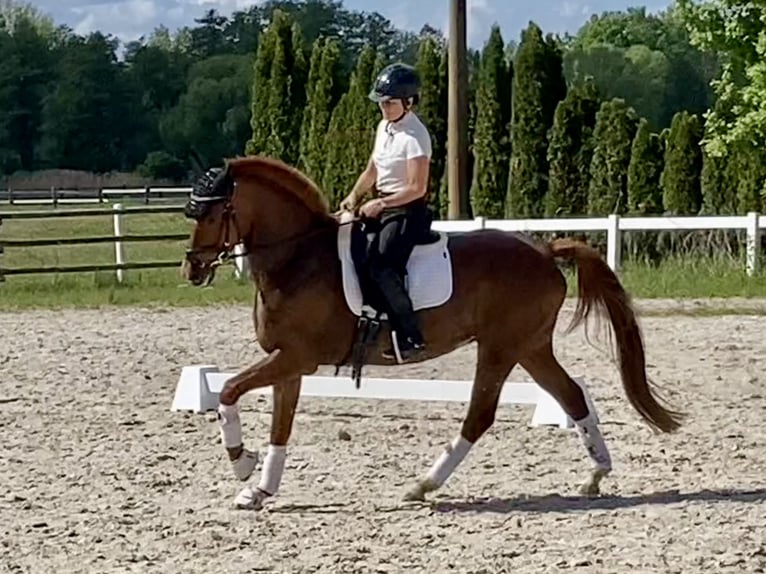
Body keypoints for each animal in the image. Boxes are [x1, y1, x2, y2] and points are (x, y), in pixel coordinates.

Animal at [181, 154, 683, 511]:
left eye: (212, 214)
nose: (191, 269)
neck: (297, 259)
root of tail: (543, 251)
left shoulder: (295, 357)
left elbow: (228, 390)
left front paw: (241, 463)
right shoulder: (289, 362)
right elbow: (279, 428)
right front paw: (259, 490)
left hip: (500, 347)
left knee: (479, 416)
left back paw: (423, 485)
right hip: (531, 347)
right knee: (571, 396)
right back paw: (596, 475)